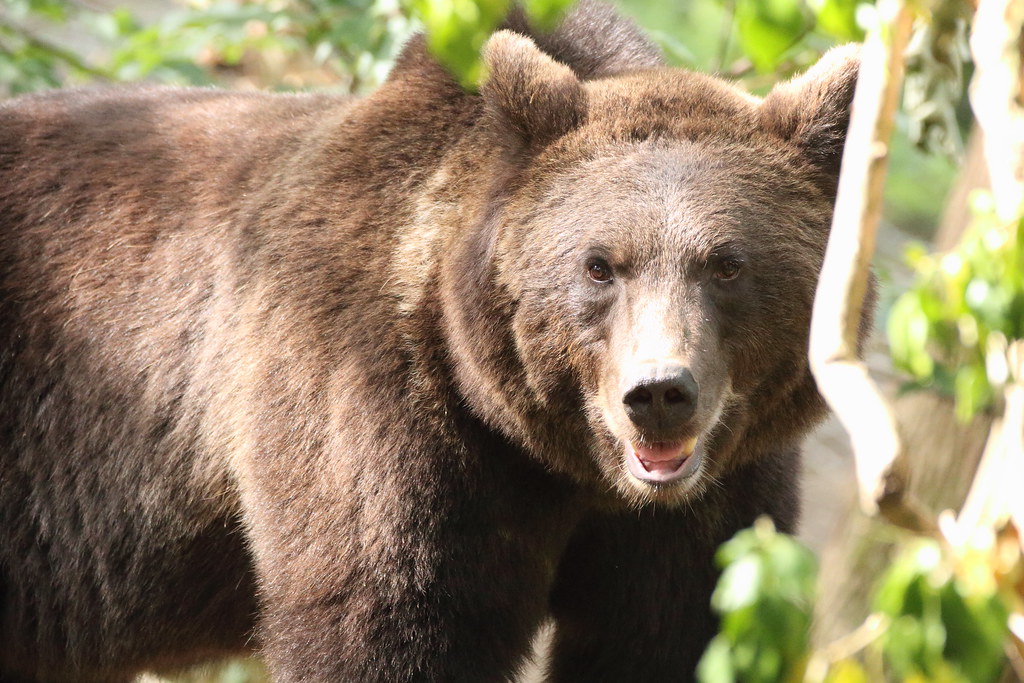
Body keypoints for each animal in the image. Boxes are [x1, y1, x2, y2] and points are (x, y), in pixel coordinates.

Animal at [0, 2, 862, 681]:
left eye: (727, 263)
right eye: (599, 265)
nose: (658, 394)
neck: (561, 464)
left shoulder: (707, 508)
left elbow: (656, 634)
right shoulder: (377, 419)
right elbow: (384, 623)